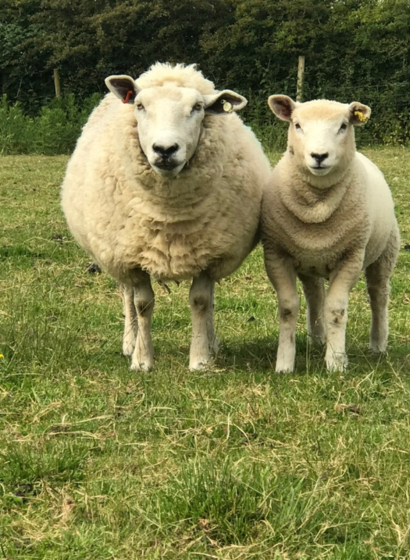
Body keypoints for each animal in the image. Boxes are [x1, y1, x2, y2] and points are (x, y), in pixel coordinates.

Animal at [61, 62, 272, 372]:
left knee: (210, 298)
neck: (169, 213)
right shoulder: (132, 257)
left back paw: (212, 343)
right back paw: (129, 342)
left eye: (197, 107)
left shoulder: (208, 253)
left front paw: (200, 359)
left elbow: (201, 301)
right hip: (116, 253)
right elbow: (142, 304)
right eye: (140, 105)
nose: (164, 149)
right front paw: (141, 359)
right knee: (126, 296)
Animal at [262, 95, 398, 374]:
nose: (319, 156)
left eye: (343, 126)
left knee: (378, 295)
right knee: (315, 294)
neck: (317, 205)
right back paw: (317, 338)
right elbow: (288, 308)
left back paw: (378, 344)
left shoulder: (351, 257)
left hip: (385, 252)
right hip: (308, 260)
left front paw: (335, 362)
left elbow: (336, 310)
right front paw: (284, 364)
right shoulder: (276, 255)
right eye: (297, 125)